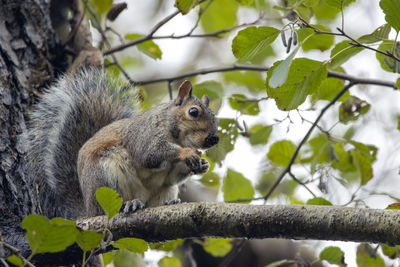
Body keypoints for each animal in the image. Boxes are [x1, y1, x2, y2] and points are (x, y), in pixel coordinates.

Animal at [25, 68, 219, 220]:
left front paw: (203, 164)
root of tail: (88, 212)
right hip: (106, 177)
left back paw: (169, 202)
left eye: (215, 117)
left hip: (164, 190)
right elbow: (151, 154)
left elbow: (172, 176)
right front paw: (186, 153)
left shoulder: (170, 175)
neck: (177, 137)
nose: (213, 139)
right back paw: (130, 204)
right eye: (193, 112)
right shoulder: (144, 135)